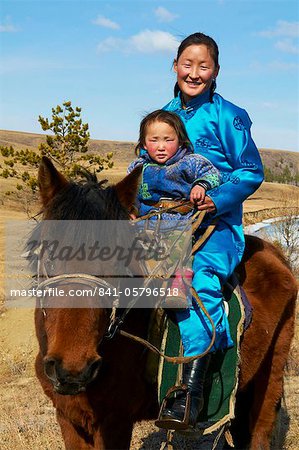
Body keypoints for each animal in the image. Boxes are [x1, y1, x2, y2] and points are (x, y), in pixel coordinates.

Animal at [31, 156, 298, 448]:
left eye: (117, 264)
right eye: (48, 256)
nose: (72, 368)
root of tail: (274, 252)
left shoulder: (114, 422)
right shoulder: (69, 418)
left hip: (269, 376)